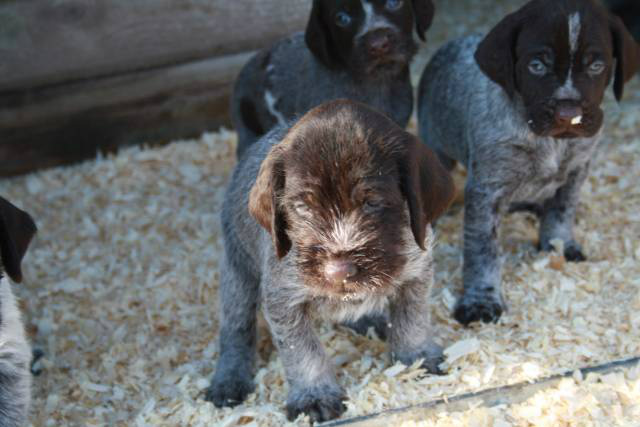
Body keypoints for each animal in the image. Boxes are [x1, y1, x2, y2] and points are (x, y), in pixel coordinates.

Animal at [206, 100, 454, 423]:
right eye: (302, 207)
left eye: (372, 202)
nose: (339, 271)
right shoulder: (283, 299)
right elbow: (302, 351)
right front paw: (314, 394)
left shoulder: (416, 270)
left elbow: (413, 318)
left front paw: (416, 356)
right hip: (238, 274)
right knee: (236, 327)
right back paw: (229, 379)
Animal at [417, 0, 640, 326]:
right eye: (537, 66)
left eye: (596, 66)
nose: (568, 114)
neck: (552, 141)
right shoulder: (488, 189)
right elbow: (483, 249)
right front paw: (481, 300)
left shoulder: (578, 167)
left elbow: (562, 209)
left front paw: (558, 244)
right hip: (436, 147)